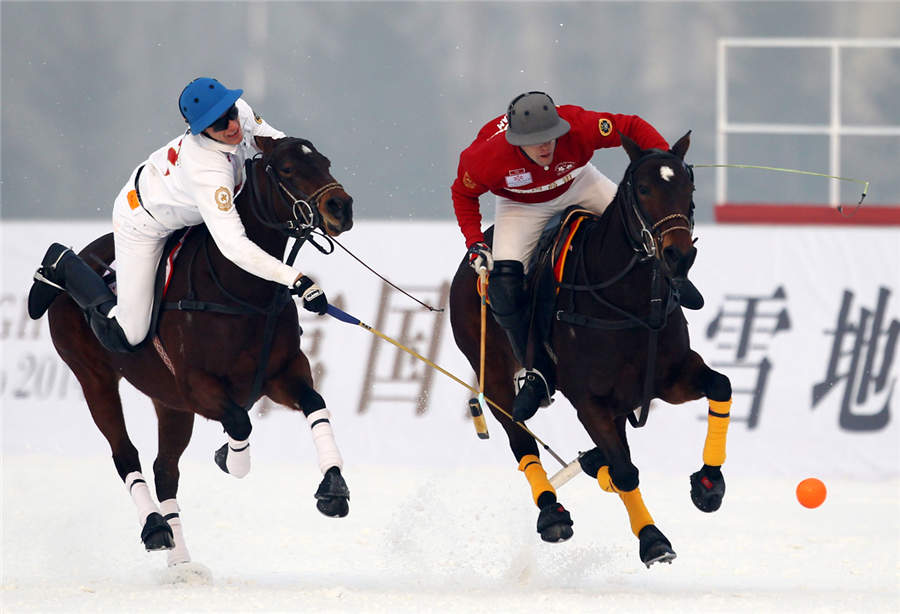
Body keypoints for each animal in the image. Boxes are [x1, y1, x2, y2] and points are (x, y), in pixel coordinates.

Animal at [40, 137, 356, 572]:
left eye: (325, 161)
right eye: (288, 169)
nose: (341, 207)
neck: (241, 291)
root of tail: (85, 251)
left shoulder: (282, 372)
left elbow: (314, 402)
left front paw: (333, 487)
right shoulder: (197, 386)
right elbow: (240, 422)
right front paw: (233, 461)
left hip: (168, 402)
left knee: (164, 469)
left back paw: (181, 563)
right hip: (95, 377)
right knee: (126, 454)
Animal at [450, 134, 732, 568]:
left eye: (689, 187)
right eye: (644, 189)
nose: (678, 256)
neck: (627, 301)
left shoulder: (670, 377)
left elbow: (721, 386)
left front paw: (707, 484)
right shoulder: (589, 401)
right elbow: (626, 471)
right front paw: (653, 540)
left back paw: (591, 466)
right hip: (495, 377)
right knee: (522, 440)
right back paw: (551, 513)